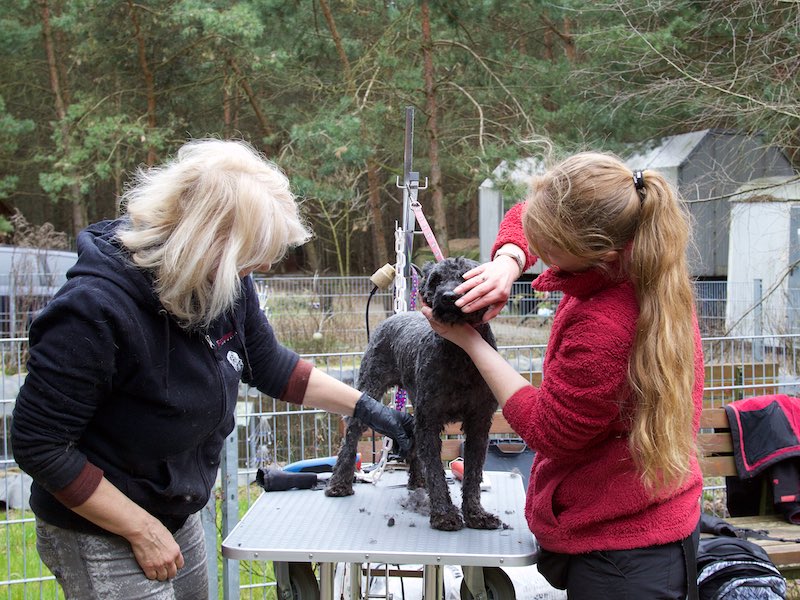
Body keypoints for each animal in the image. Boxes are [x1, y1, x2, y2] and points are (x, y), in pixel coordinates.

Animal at [325, 256, 502, 531]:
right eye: (436, 280)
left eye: (466, 277)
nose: (448, 296)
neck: (459, 353)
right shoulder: (429, 418)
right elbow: (436, 471)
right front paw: (444, 514)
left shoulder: (478, 423)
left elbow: (473, 474)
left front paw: (476, 514)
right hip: (370, 387)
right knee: (351, 434)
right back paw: (339, 483)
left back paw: (418, 480)